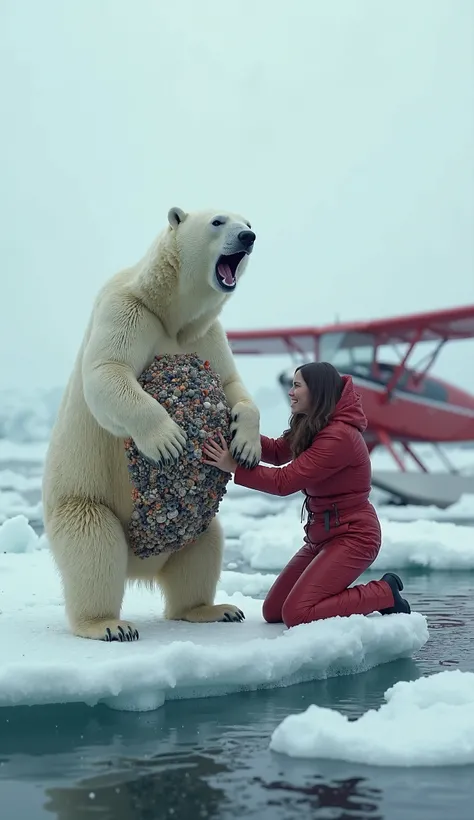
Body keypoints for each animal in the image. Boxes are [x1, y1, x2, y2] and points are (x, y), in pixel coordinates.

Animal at [42, 207, 262, 640]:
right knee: (94, 543)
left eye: (247, 221)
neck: (171, 314)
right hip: (81, 500)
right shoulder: (128, 310)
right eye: (218, 221)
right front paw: (168, 441)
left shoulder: (205, 335)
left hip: (196, 525)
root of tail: (141, 566)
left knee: (206, 545)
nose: (248, 237)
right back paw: (108, 625)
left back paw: (216, 609)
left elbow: (232, 384)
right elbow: (108, 371)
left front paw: (247, 444)